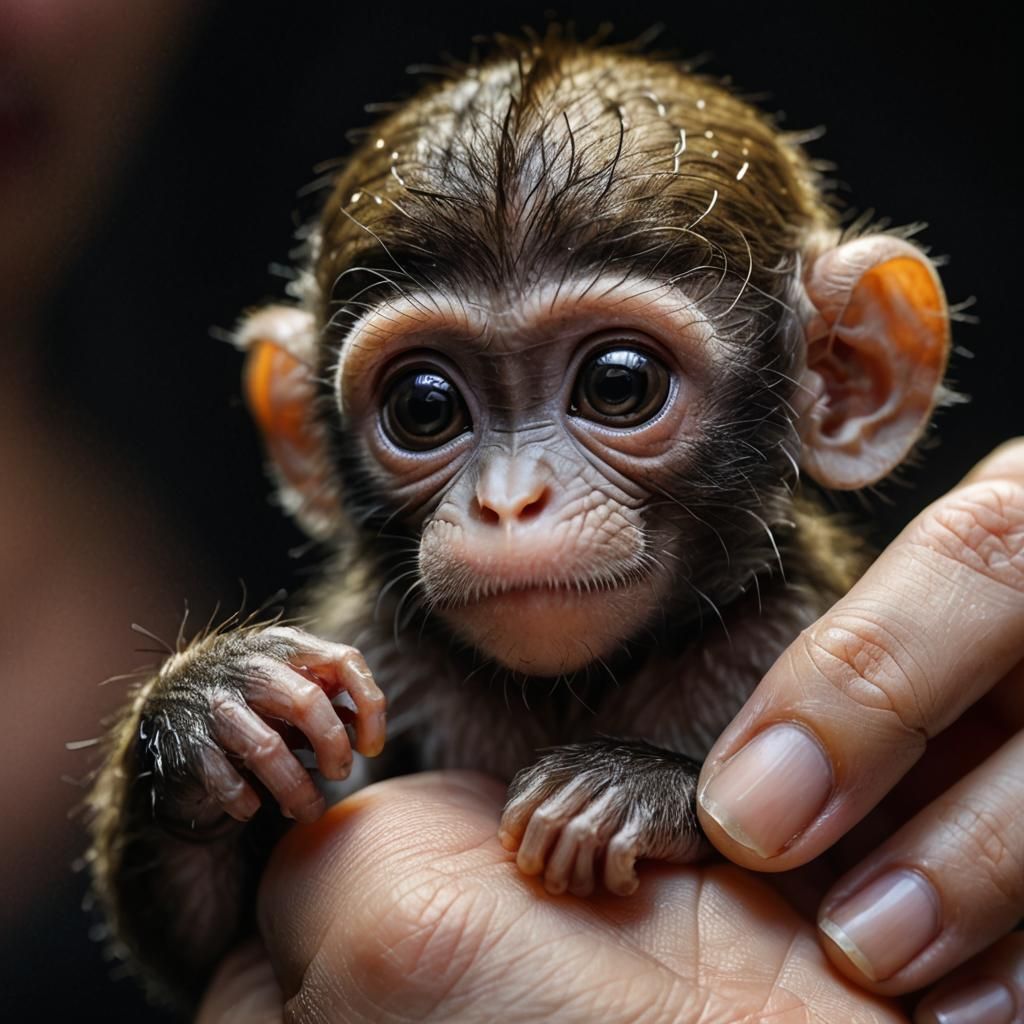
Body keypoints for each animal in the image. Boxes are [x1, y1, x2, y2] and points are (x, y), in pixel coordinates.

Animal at [85, 32, 951, 1010]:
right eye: (425, 405)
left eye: (618, 384)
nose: (509, 500)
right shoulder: (379, 651)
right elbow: (199, 944)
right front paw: (212, 707)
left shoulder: (796, 613)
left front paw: (632, 787)